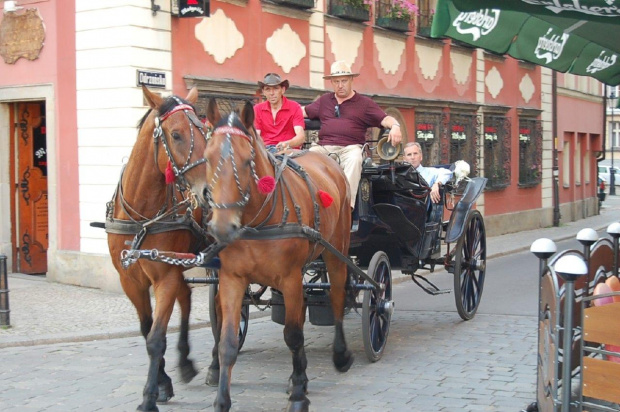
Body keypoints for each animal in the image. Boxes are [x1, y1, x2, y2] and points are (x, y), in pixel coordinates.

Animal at [106, 85, 211, 410]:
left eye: (203, 131)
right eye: (176, 134)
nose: (208, 191)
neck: (142, 216)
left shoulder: (164, 276)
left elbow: (156, 338)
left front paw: (149, 396)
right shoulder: (130, 280)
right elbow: (146, 329)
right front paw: (163, 382)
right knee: (186, 296)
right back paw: (186, 362)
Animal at [182, 100, 352, 412]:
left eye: (247, 160)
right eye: (208, 158)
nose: (222, 227)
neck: (256, 221)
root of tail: (328, 161)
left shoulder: (289, 278)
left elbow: (293, 335)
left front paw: (298, 394)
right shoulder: (232, 279)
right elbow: (227, 341)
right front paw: (222, 399)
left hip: (337, 249)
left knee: (336, 297)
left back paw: (341, 354)